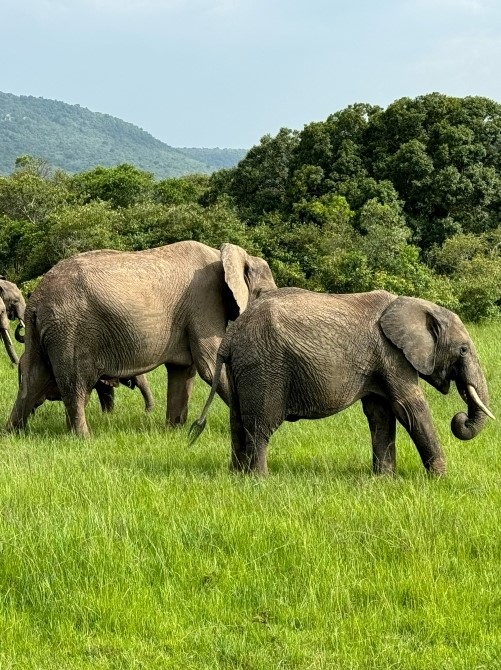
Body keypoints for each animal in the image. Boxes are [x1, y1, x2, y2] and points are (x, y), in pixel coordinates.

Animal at [7, 240, 276, 437]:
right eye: (263, 293)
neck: (223, 253)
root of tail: (37, 299)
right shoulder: (204, 301)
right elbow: (210, 366)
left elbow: (183, 370)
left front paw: (174, 431)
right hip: (69, 329)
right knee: (75, 383)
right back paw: (83, 438)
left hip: (43, 332)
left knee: (33, 379)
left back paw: (12, 433)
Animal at [190, 288, 494, 476]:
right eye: (463, 350)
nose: (460, 419)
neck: (417, 305)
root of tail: (233, 333)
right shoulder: (392, 355)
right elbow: (409, 407)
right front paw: (441, 479)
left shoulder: (380, 360)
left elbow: (381, 413)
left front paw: (383, 480)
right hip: (265, 365)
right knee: (260, 425)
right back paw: (260, 480)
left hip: (243, 366)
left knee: (237, 420)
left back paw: (238, 476)